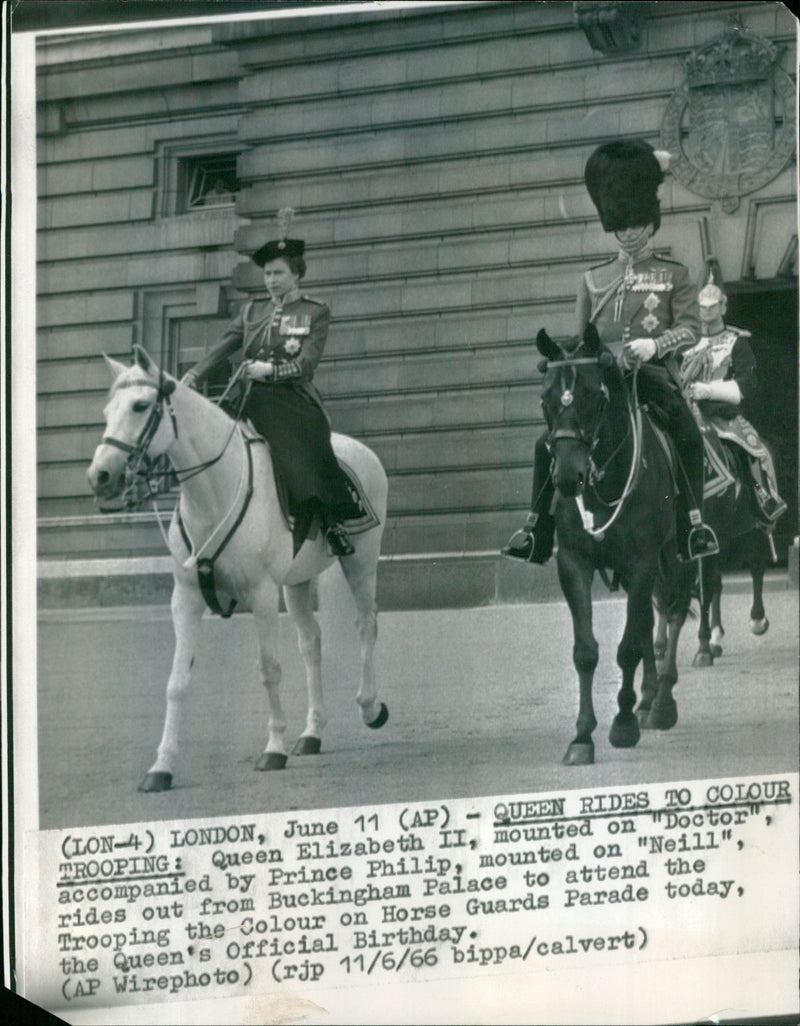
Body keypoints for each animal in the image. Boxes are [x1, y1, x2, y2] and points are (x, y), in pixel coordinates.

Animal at [87, 348, 387, 787]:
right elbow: (177, 682)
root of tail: (359, 449)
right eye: (107, 411)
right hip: (297, 581)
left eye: (141, 406)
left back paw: (369, 707)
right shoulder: (186, 598)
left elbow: (269, 669)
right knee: (311, 643)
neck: (213, 488)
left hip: (361, 561)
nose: (100, 475)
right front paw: (162, 765)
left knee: (366, 625)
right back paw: (312, 732)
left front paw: (274, 748)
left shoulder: (260, 594)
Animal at [537, 324, 693, 767]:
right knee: (648, 622)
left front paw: (622, 726)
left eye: (593, 395)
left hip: (676, 555)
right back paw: (647, 700)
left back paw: (662, 702)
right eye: (546, 398)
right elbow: (587, 651)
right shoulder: (574, 564)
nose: (566, 477)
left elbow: (627, 648)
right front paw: (582, 736)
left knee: (674, 609)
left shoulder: (642, 562)